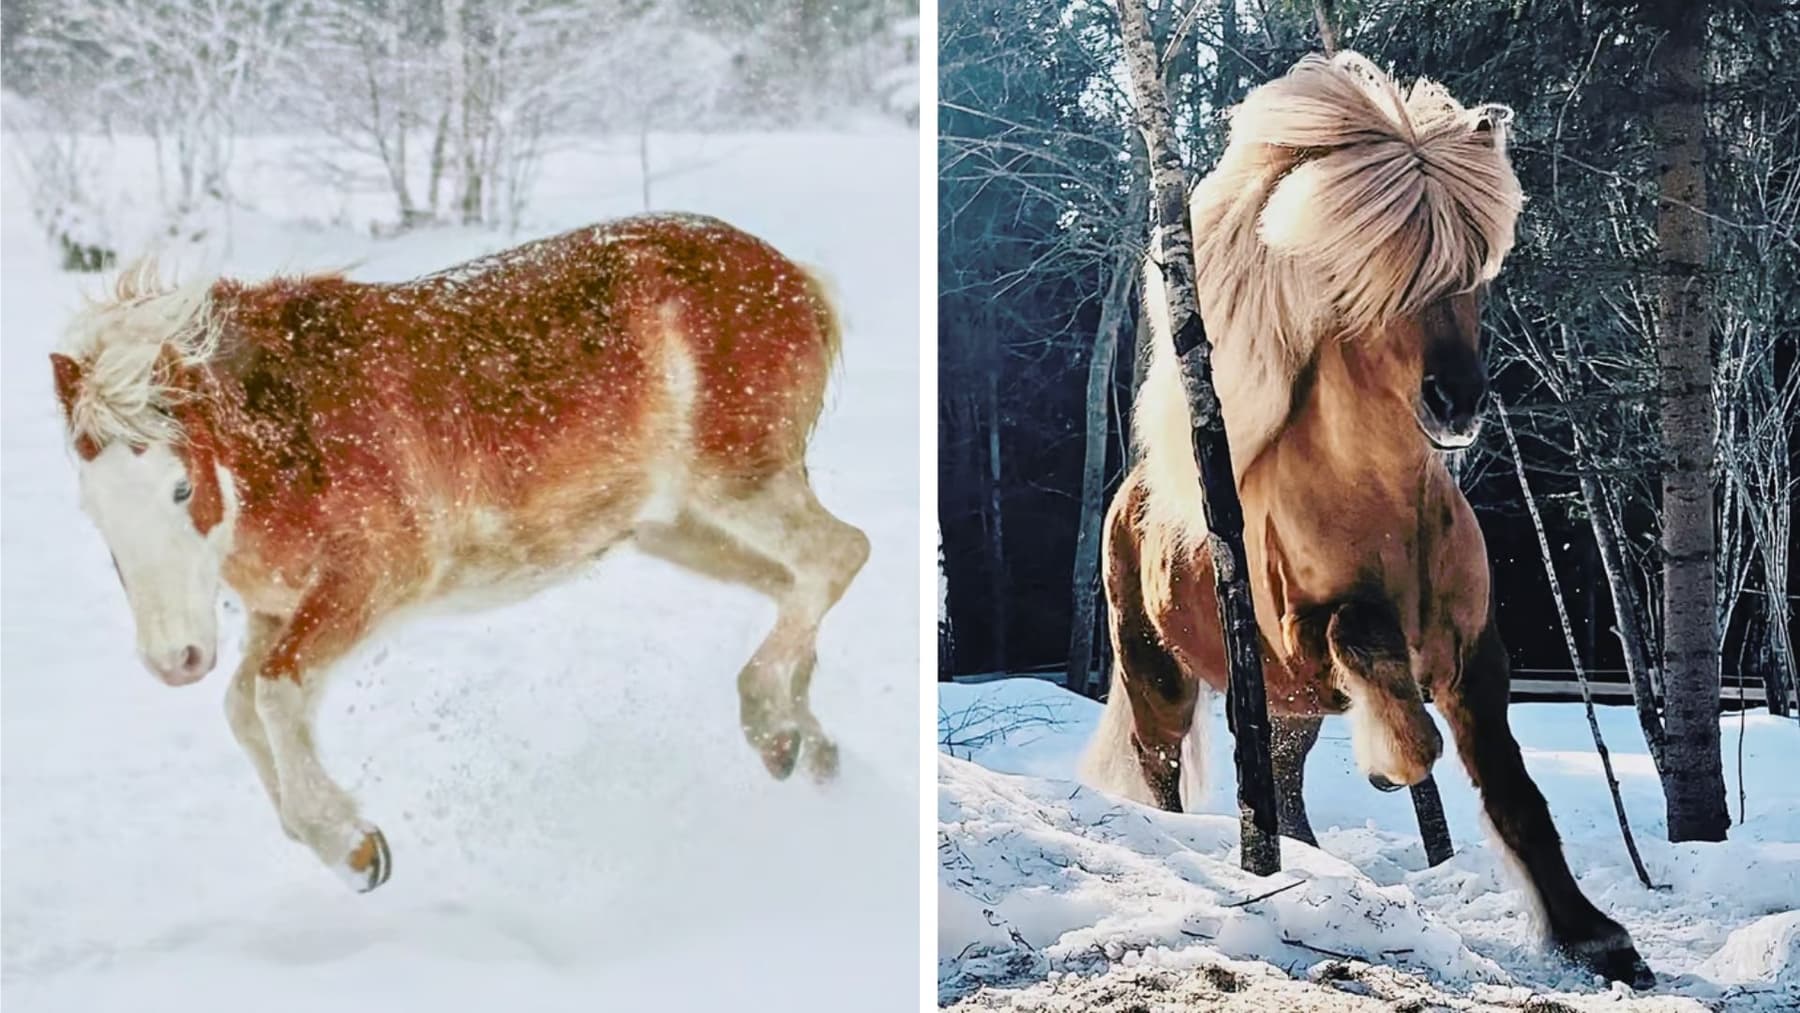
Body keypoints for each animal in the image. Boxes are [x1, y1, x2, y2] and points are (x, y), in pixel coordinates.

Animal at [49, 213, 870, 892]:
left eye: (181, 488)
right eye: (93, 509)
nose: (174, 660)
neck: (290, 434)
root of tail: (798, 281)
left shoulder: (371, 580)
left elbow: (275, 694)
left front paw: (354, 849)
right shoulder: (277, 610)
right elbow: (241, 706)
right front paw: (332, 836)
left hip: (741, 484)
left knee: (838, 556)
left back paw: (770, 724)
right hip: (682, 529)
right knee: (794, 585)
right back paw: (806, 746)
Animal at [1079, 53, 1652, 987]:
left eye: (1478, 269)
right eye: (1383, 269)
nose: (1457, 402)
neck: (1384, 510)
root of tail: (1133, 497)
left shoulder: (1477, 655)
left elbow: (1515, 793)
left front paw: (1596, 936)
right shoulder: (1309, 637)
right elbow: (1382, 669)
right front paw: (1392, 764)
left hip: (1286, 711)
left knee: (1284, 786)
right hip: (1158, 672)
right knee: (1164, 768)